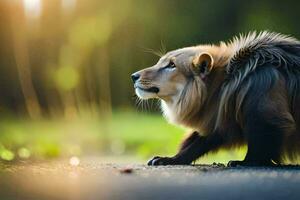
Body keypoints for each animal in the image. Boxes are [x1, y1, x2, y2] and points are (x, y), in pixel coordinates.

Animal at [132, 32, 300, 167]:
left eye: (171, 65)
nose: (133, 76)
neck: (226, 82)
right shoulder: (219, 121)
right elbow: (196, 144)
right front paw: (169, 159)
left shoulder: (265, 111)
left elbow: (259, 147)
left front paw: (244, 163)